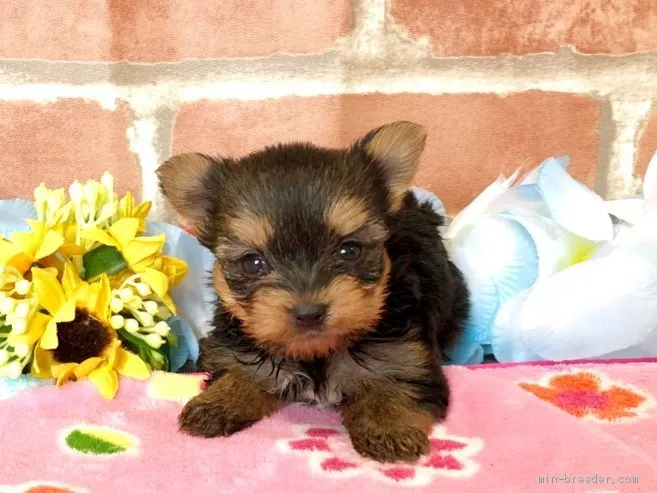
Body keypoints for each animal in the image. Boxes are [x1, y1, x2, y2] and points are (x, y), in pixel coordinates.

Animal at [158, 120, 466, 462]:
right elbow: (243, 371)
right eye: (253, 262)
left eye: (350, 250)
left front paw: (387, 427)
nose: (309, 314)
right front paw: (217, 402)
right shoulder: (242, 350)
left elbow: (396, 385)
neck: (317, 352)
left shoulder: (406, 355)